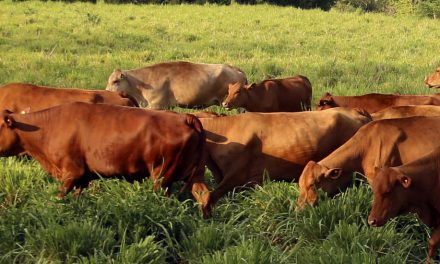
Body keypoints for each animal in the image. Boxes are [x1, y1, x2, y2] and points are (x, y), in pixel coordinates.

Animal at [0, 103, 211, 219]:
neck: (47, 127)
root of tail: (184, 117)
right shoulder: (83, 177)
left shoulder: (71, 172)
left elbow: (58, 198)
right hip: (195, 174)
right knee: (204, 195)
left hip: (161, 176)